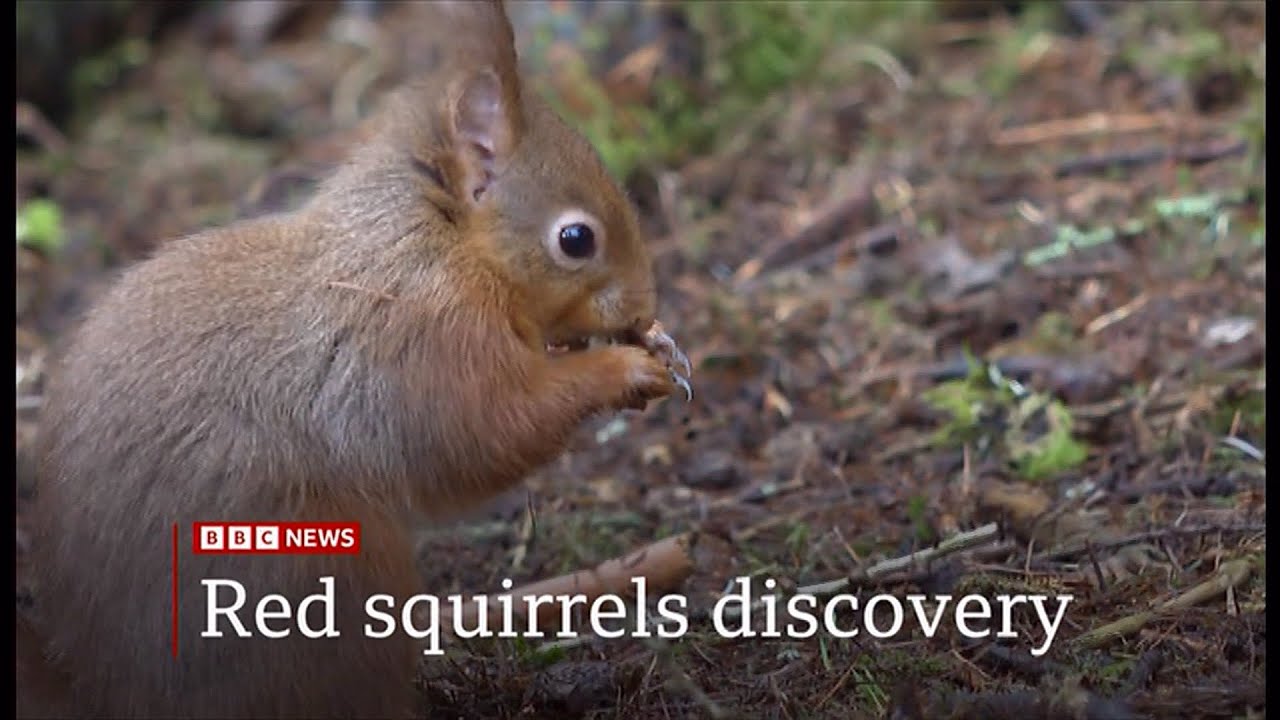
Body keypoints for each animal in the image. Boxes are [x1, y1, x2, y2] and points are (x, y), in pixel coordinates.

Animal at [20, 2, 692, 718]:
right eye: (575, 239)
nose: (645, 305)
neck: (443, 242)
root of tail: (107, 689)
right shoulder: (423, 339)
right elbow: (488, 432)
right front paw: (623, 371)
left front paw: (653, 347)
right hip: (321, 573)